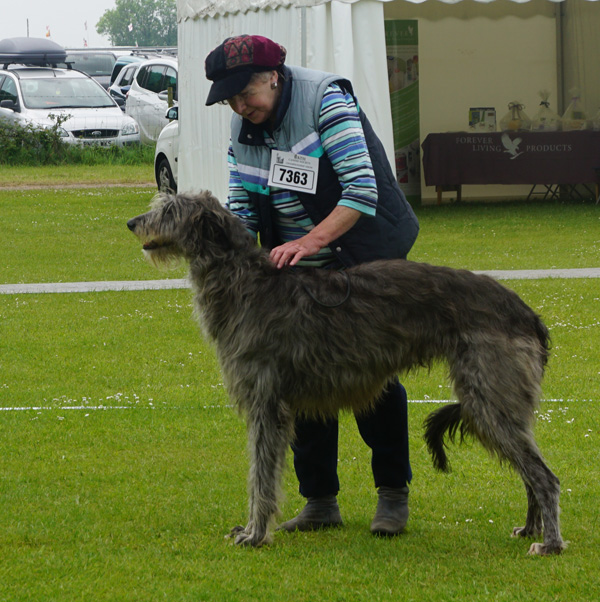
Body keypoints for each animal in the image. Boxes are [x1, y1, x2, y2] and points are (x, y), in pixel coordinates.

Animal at [126, 191, 568, 552]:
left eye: (170, 211)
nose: (132, 223)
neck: (246, 284)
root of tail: (528, 315)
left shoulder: (266, 404)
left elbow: (261, 476)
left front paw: (255, 534)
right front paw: (252, 530)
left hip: (490, 395)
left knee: (544, 476)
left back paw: (550, 543)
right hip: (496, 401)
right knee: (530, 472)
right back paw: (531, 529)